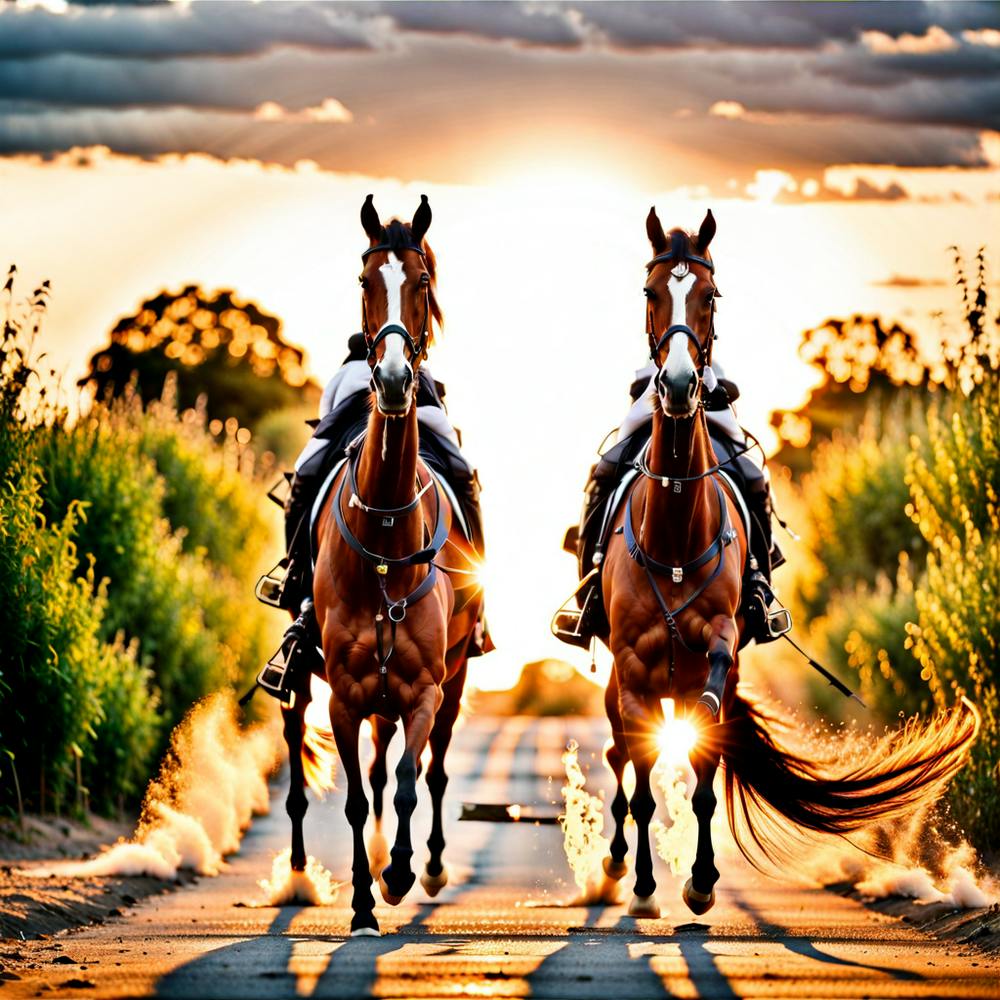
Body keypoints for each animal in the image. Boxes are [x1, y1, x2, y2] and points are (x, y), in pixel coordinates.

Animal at [281, 194, 483, 937]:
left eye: (420, 282)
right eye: (365, 279)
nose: (395, 379)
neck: (388, 537)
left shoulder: (423, 689)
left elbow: (403, 784)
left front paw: (398, 874)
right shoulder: (342, 693)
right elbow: (354, 799)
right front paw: (364, 901)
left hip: (447, 682)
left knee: (429, 771)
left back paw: (426, 865)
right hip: (311, 683)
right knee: (301, 770)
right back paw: (298, 875)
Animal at [597, 207, 979, 918]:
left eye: (710, 296)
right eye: (651, 292)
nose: (680, 385)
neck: (674, 533)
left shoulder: (719, 644)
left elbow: (706, 750)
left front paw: (698, 882)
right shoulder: (631, 668)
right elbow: (640, 782)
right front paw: (642, 890)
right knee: (623, 761)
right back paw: (617, 870)